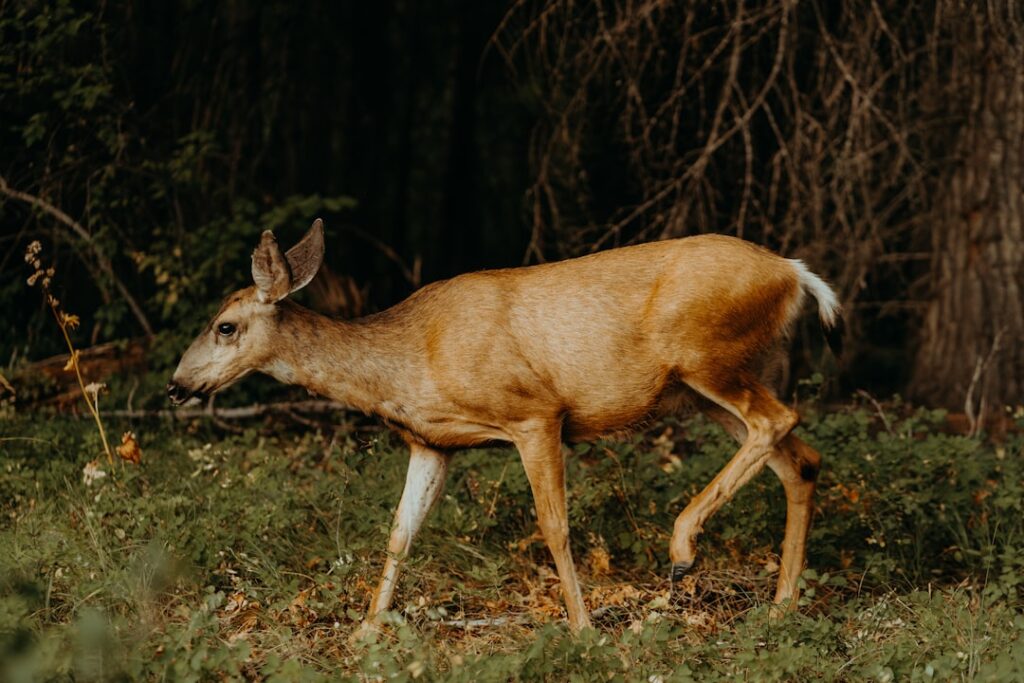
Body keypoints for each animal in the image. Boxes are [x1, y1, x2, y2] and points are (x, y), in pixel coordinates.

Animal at [168, 218, 841, 634]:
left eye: (225, 326)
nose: (176, 385)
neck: (410, 360)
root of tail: (794, 273)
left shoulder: (535, 414)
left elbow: (556, 527)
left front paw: (583, 628)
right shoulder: (432, 443)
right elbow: (399, 533)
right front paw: (367, 630)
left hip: (707, 356)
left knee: (780, 420)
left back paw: (682, 550)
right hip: (703, 390)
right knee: (799, 458)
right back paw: (780, 607)